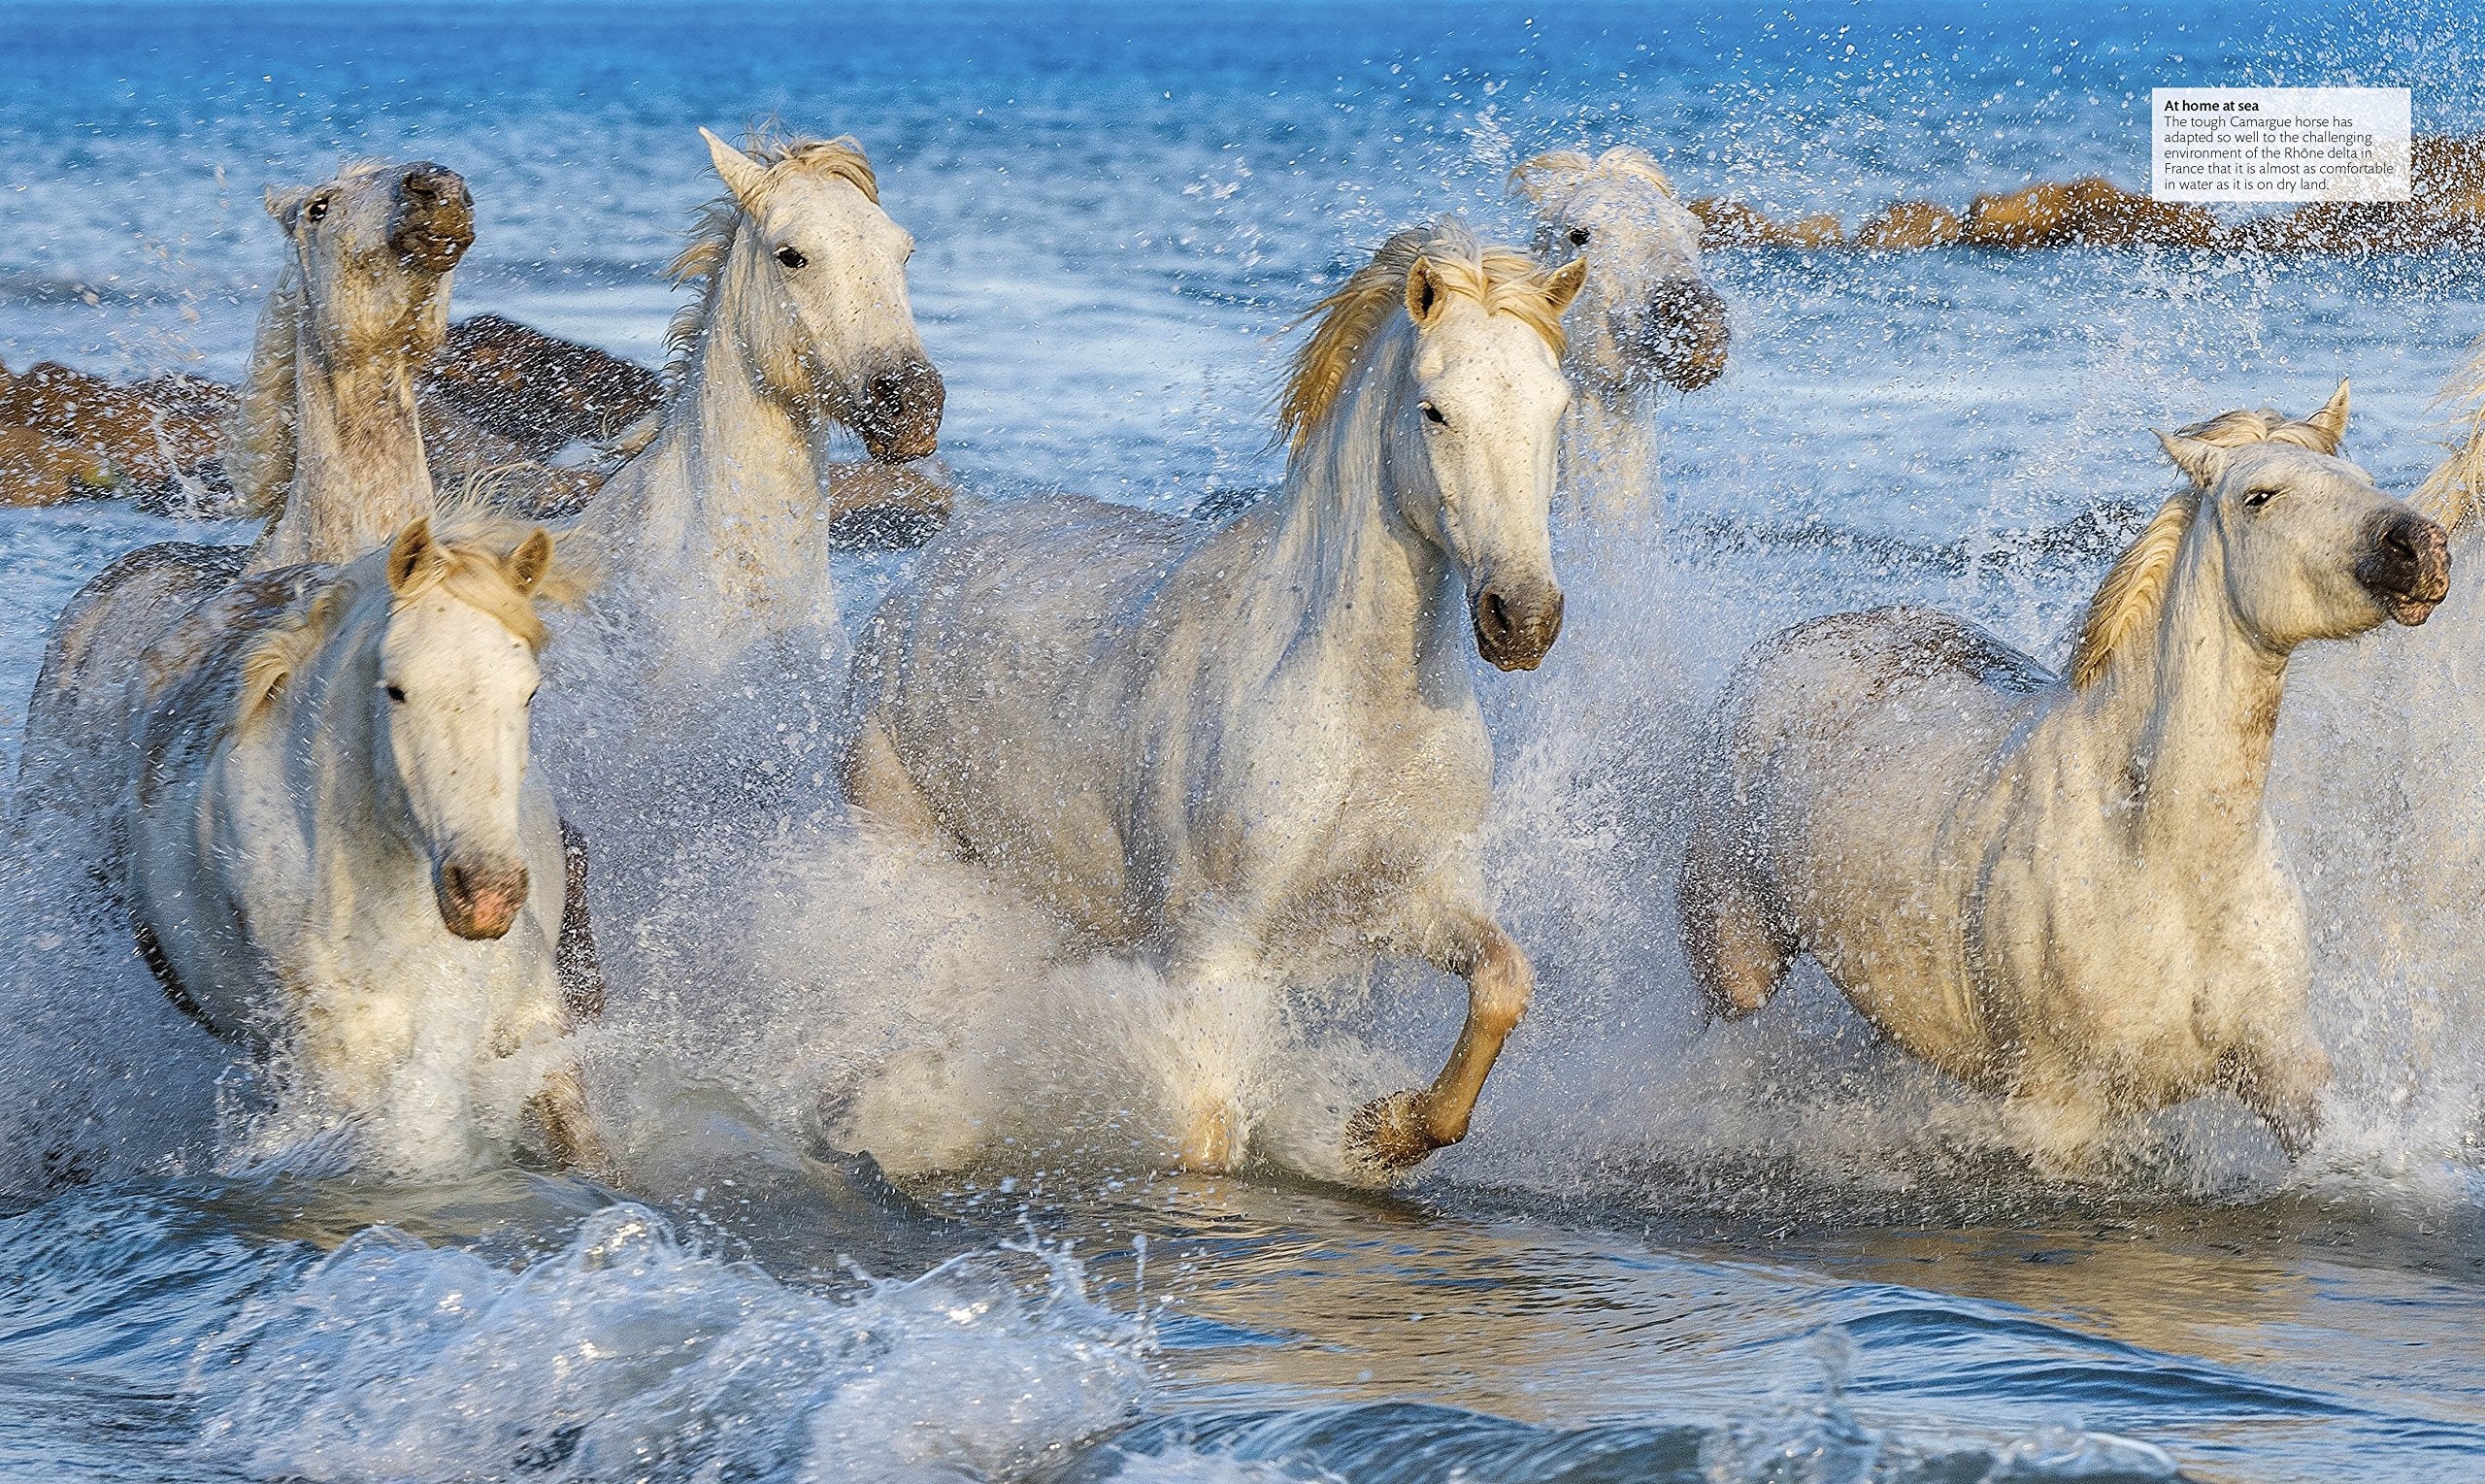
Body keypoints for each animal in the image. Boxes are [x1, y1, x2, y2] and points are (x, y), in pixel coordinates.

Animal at [843, 218, 1587, 1176]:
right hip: (904, 840)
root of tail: (934, 563)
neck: (1357, 708)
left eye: (1557, 408)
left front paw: (1382, 1126)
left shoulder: (1410, 897)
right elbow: (1204, 1130)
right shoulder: (1211, 949)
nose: (1522, 618)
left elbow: (1502, 984)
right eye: (1435, 410)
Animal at [1677, 388, 2448, 1171]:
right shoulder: (2057, 1112)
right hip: (1736, 964)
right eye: (2259, 496)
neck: (2160, 853)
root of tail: (1790, 647)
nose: (2421, 546)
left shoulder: (2286, 1068)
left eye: (2359, 476)